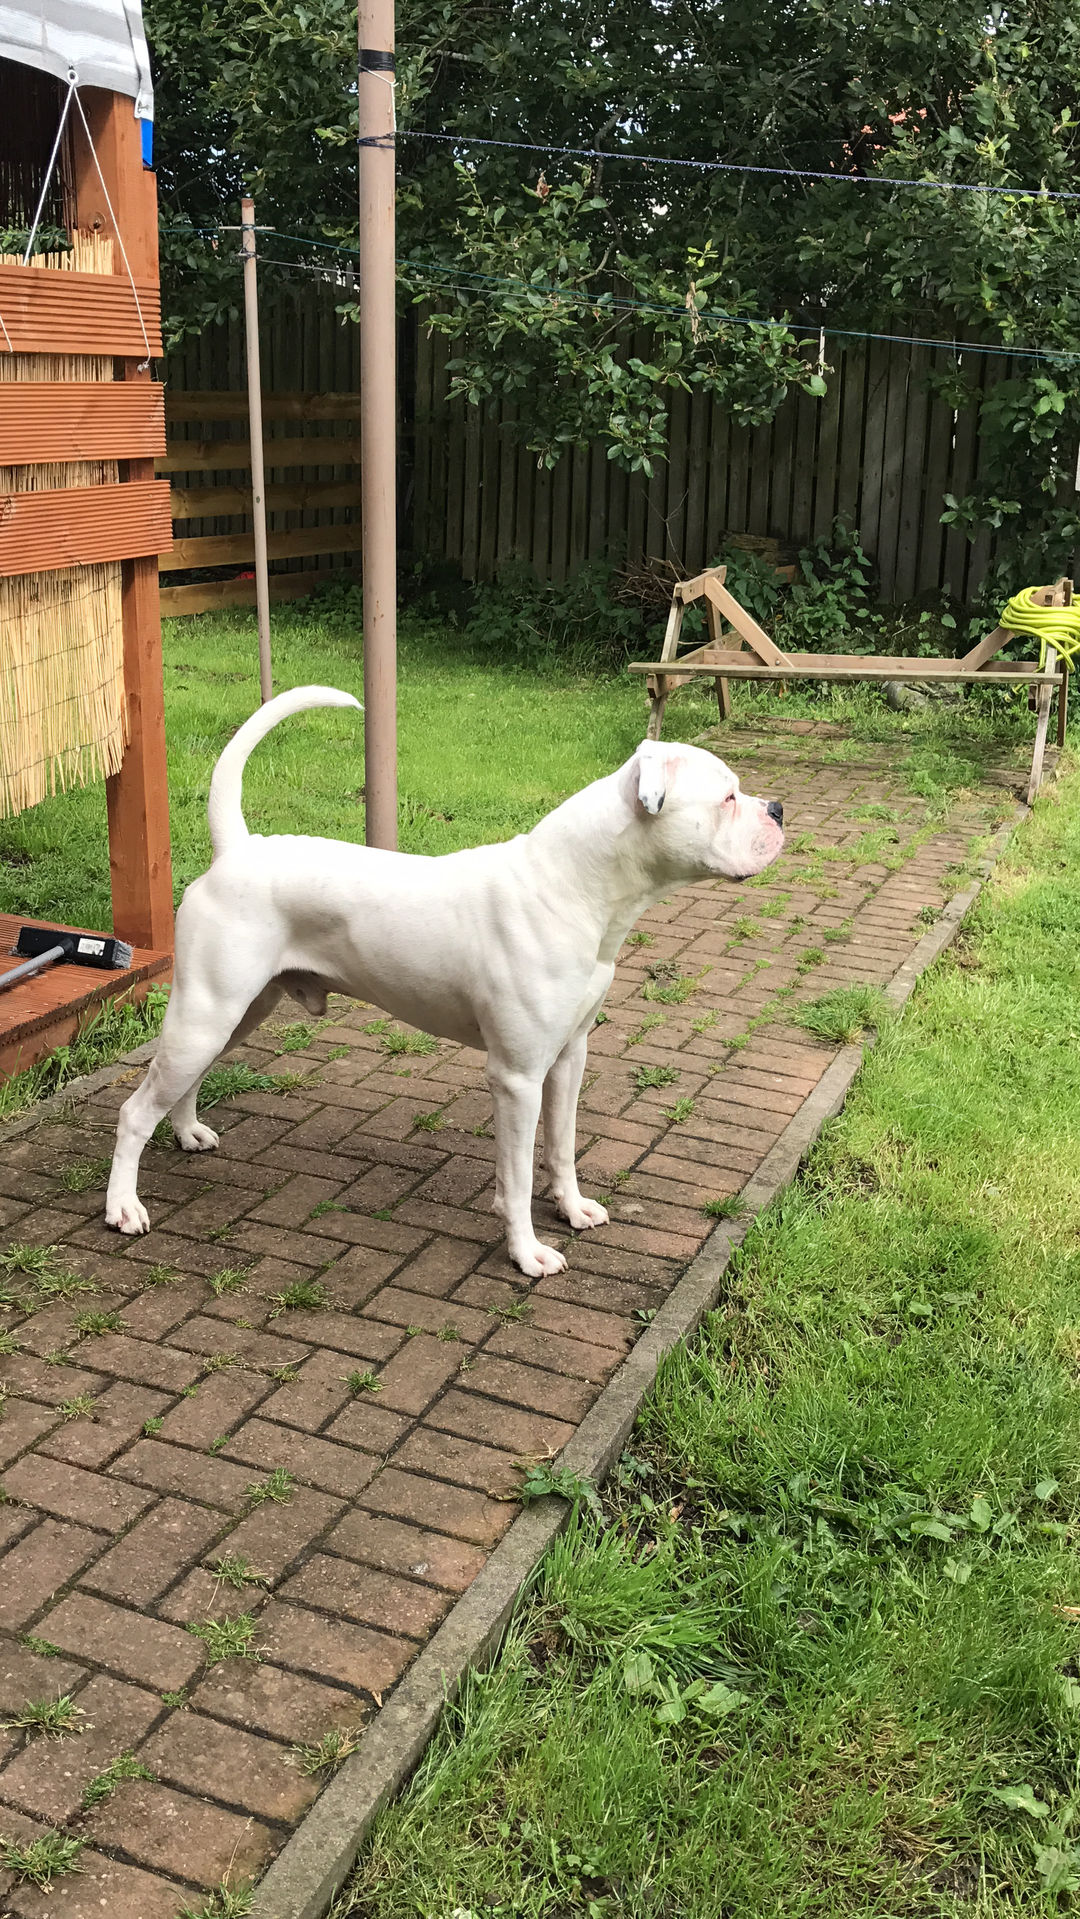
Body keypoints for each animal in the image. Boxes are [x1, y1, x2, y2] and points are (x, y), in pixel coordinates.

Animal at [105, 687, 784, 1277]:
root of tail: (237, 849)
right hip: (207, 1012)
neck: (575, 886)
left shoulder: (568, 1057)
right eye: (727, 796)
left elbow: (562, 1147)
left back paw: (187, 1132)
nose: (778, 809)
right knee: (135, 1111)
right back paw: (123, 1207)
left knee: (183, 1082)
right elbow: (516, 1175)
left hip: (235, 1012)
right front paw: (527, 1253)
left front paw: (571, 1209)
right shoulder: (516, 1078)